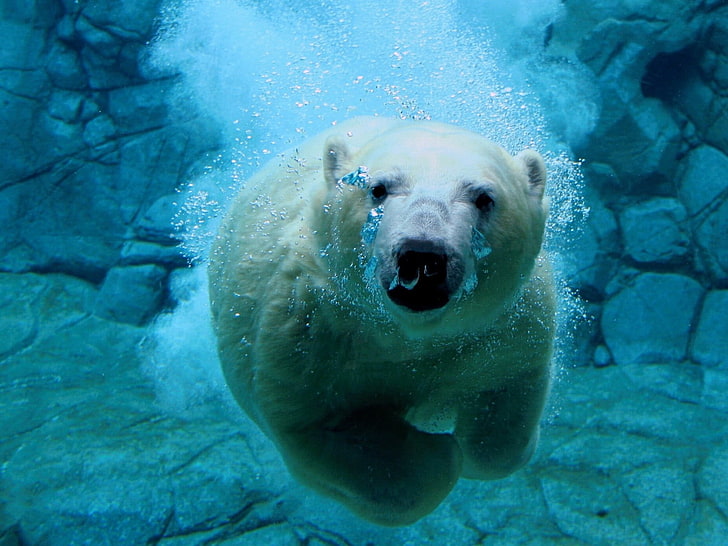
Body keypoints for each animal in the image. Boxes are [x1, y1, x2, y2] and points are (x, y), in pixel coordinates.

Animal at [208, 116, 555, 526]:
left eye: (484, 197)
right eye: (378, 188)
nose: (423, 255)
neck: (406, 334)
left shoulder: (504, 327)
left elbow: (505, 404)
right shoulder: (306, 331)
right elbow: (320, 428)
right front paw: (437, 453)